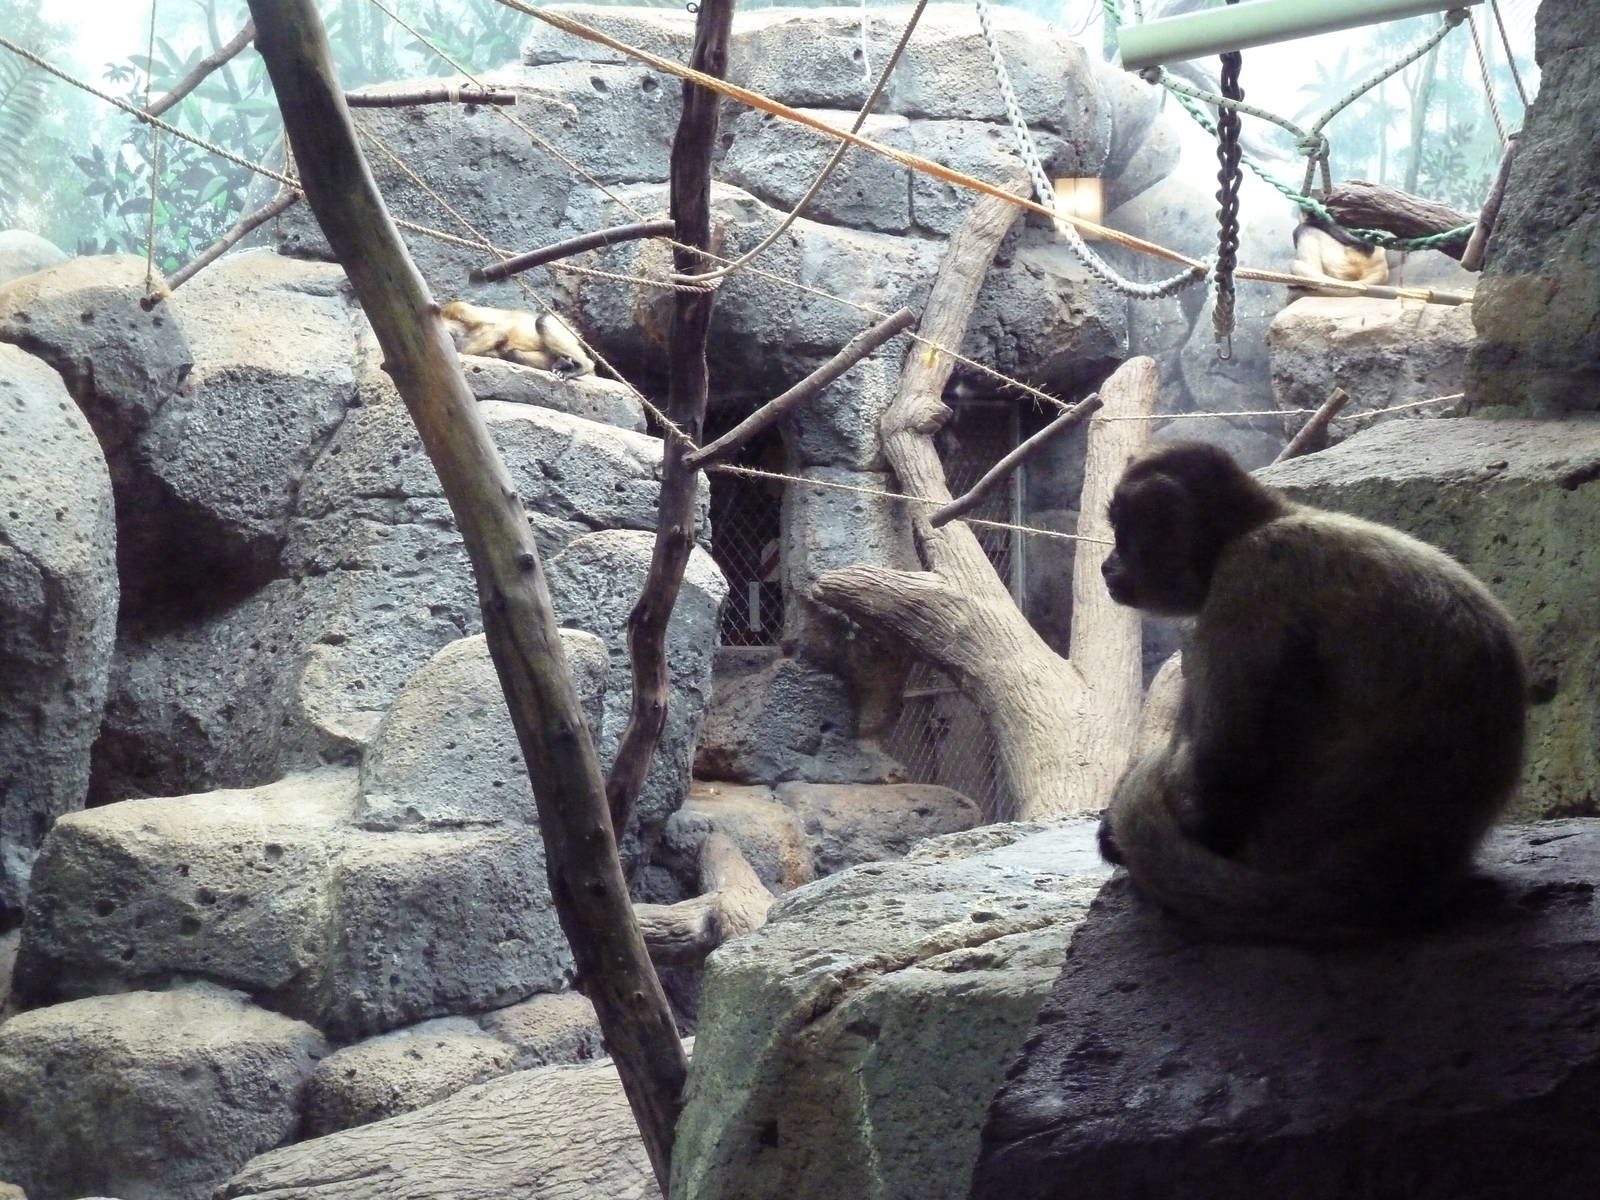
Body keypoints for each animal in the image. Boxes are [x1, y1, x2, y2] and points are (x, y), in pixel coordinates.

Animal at [439, 300, 595, 380]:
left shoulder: (458, 308)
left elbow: (499, 330)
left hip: (563, 327)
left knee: (542, 322)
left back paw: (583, 366)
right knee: (514, 353)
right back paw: (563, 362)